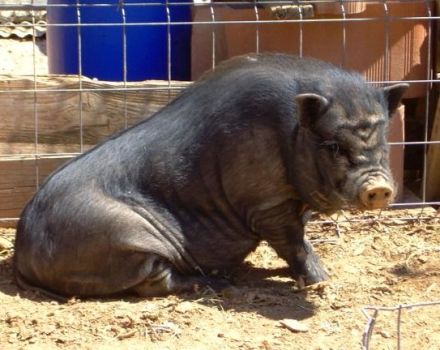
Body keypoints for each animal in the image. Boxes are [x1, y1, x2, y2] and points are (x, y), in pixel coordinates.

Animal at [13, 53, 408, 296]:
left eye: (383, 137)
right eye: (334, 145)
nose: (378, 188)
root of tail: (22, 251)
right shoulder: (266, 203)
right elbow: (294, 244)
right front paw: (323, 281)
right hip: (123, 235)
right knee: (155, 282)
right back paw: (217, 285)